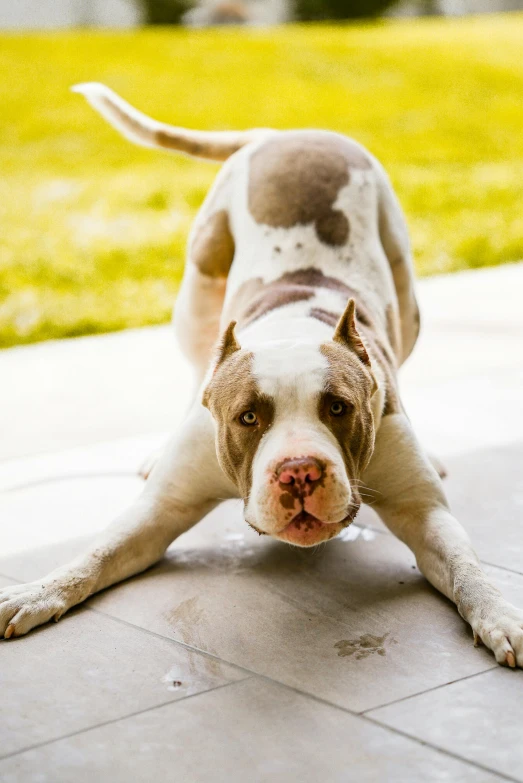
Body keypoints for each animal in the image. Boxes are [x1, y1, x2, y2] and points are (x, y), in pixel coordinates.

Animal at [2, 86, 520, 672]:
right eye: (247, 417)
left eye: (338, 408)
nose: (298, 472)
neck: (292, 326)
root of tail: (283, 134)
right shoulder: (161, 509)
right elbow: (98, 551)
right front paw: (39, 592)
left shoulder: (424, 511)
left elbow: (466, 567)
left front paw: (499, 615)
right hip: (197, 292)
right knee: (195, 360)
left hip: (406, 295)